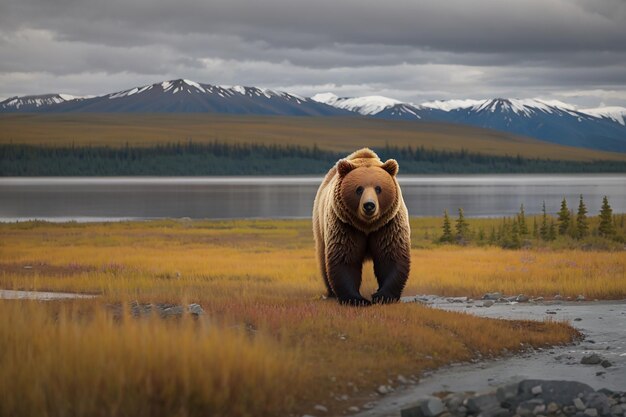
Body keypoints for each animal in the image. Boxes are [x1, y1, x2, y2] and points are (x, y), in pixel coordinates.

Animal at [310, 148, 410, 304]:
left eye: (378, 188)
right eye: (359, 189)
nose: (369, 205)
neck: (367, 226)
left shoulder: (388, 224)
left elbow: (392, 255)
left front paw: (382, 296)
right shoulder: (345, 225)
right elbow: (345, 258)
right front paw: (357, 299)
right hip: (320, 226)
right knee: (323, 259)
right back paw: (331, 292)